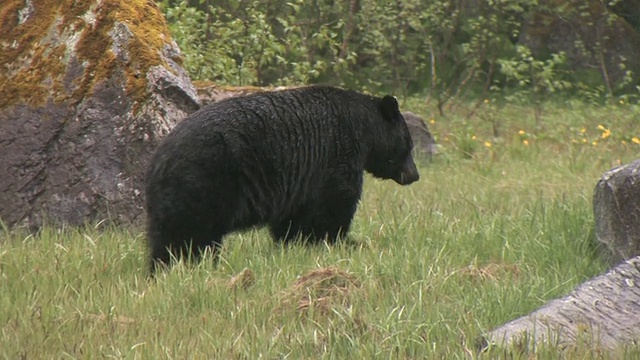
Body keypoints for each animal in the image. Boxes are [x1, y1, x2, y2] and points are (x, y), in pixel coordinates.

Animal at [145, 85, 420, 272]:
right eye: (409, 144)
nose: (414, 175)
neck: (363, 129)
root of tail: (159, 158)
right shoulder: (335, 155)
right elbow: (332, 206)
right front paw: (341, 242)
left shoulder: (300, 182)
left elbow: (292, 218)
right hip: (201, 182)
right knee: (189, 234)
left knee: (164, 238)